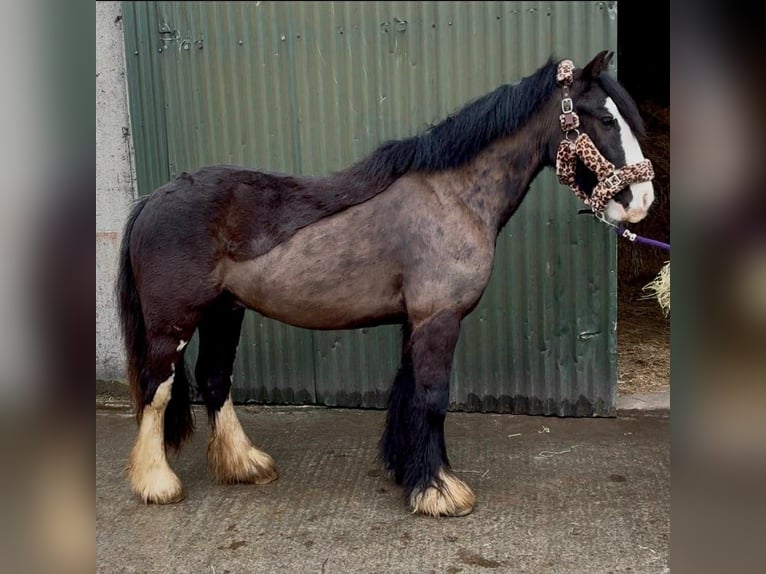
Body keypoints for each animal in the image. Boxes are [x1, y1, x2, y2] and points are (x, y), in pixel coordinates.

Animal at [116, 51, 655, 517]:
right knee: (157, 390)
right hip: (173, 325)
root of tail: (155, 198)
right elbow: (432, 397)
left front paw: (409, 473)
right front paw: (439, 490)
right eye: (605, 119)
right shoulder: (439, 319)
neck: (453, 195)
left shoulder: (416, 321)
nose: (643, 200)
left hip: (225, 311)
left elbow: (408, 392)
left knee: (215, 379)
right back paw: (157, 483)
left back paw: (243, 464)